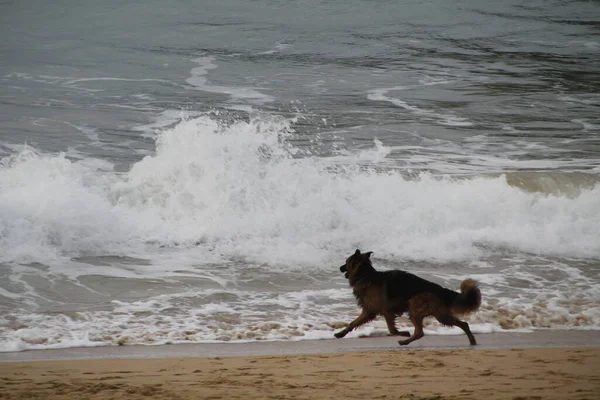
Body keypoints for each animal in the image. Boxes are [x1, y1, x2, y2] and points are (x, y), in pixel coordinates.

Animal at [338, 248, 482, 346]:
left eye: (346, 262)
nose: (339, 268)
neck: (365, 275)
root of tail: (440, 289)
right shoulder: (369, 311)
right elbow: (352, 323)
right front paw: (341, 333)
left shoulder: (387, 311)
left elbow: (392, 329)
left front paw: (403, 332)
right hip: (435, 313)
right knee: (458, 325)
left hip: (420, 310)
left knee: (423, 331)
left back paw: (405, 340)